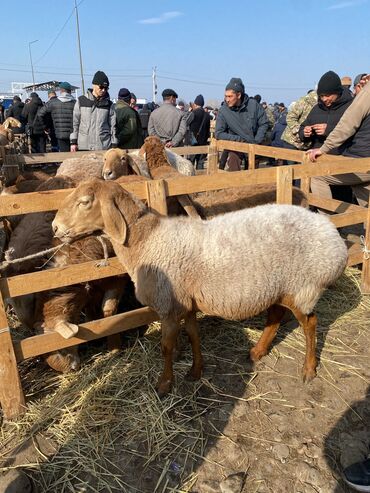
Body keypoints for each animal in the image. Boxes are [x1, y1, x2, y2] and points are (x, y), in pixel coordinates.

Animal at [52, 179, 350, 394]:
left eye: (85, 201)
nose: (55, 227)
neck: (146, 241)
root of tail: (333, 234)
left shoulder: (168, 307)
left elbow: (167, 347)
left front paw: (164, 384)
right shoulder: (186, 303)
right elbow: (194, 335)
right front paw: (196, 372)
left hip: (304, 287)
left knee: (310, 323)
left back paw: (308, 369)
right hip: (279, 286)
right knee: (276, 315)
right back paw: (257, 352)